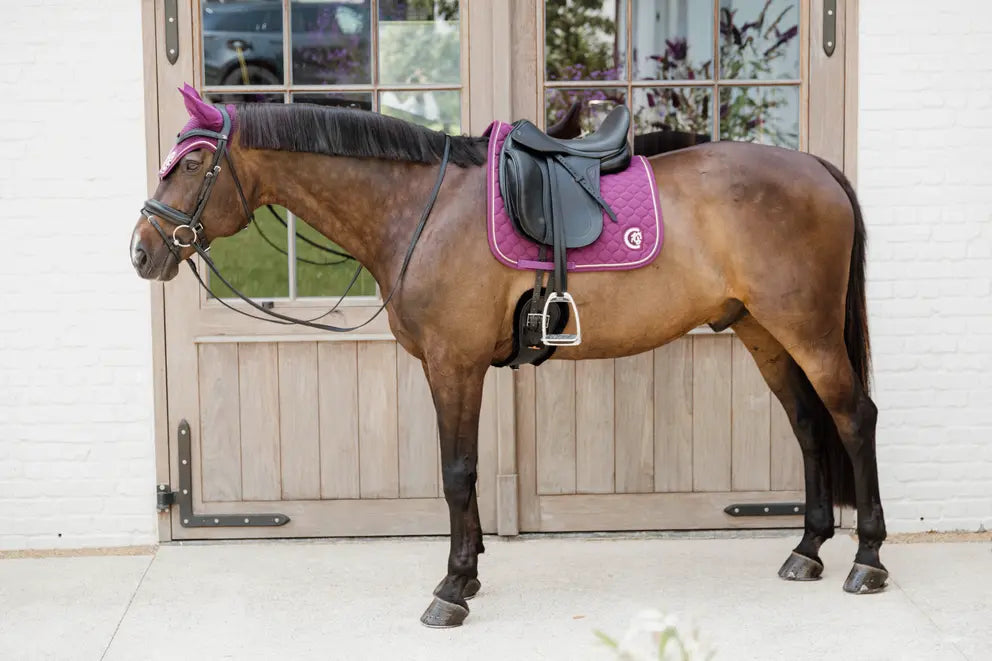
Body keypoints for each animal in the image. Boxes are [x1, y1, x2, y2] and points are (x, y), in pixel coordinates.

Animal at [131, 87, 886, 628]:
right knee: (808, 425)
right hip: (764, 332)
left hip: (809, 331)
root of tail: (817, 167)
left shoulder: (453, 363)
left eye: (191, 164)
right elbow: (462, 474)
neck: (423, 208)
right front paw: (468, 573)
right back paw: (807, 549)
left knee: (854, 417)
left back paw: (867, 559)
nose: (142, 251)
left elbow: (457, 473)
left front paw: (450, 588)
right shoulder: (454, 367)